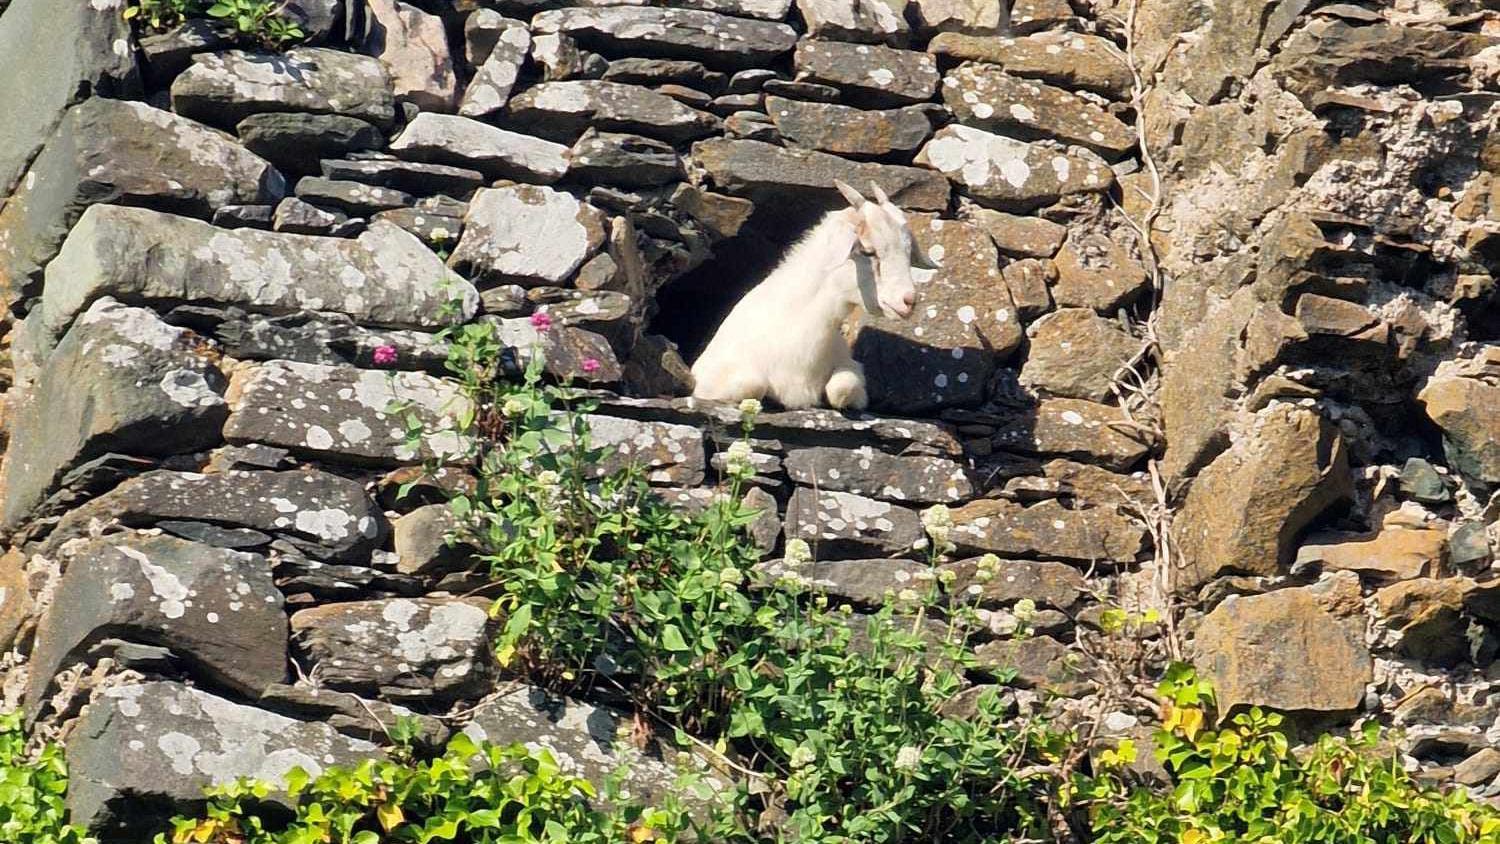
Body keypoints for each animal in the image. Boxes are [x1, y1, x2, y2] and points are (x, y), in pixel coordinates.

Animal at [693, 181, 936, 413]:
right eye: (868, 251)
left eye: (908, 253)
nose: (908, 301)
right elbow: (751, 385)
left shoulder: (849, 366)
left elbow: (842, 388)